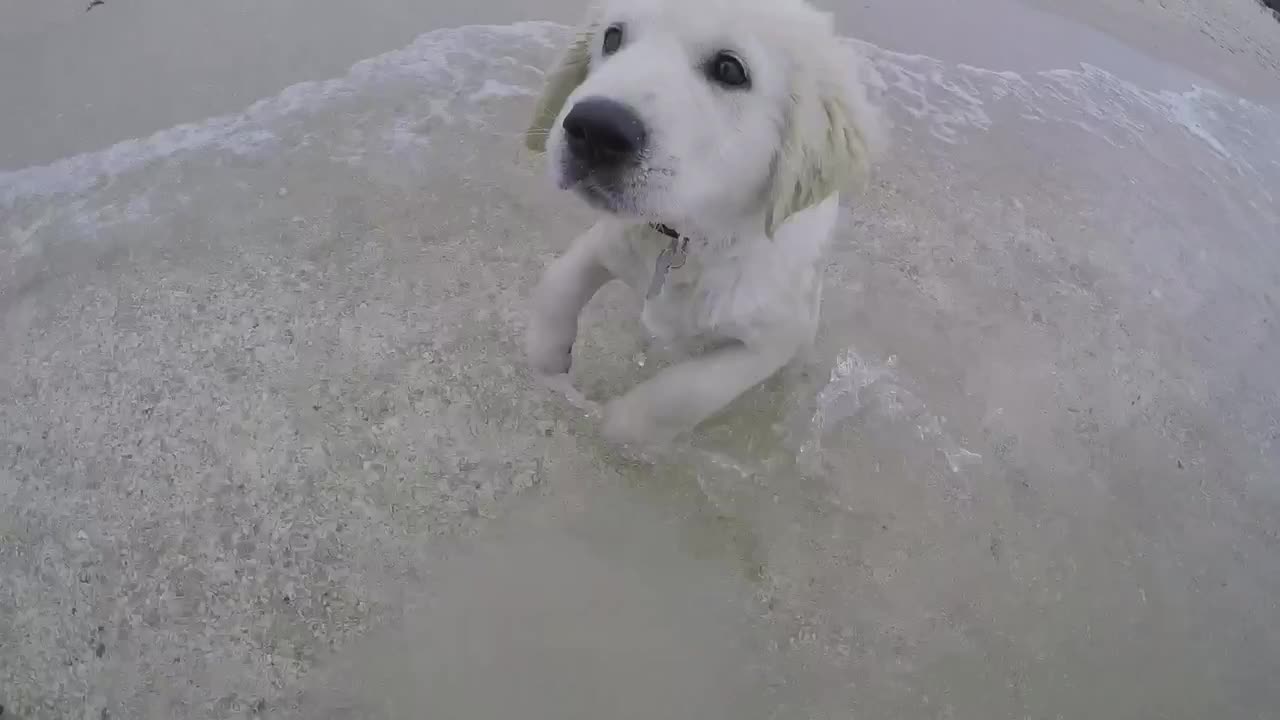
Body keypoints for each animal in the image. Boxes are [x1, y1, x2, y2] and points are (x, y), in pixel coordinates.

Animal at [519, 0, 880, 445]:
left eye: (729, 69)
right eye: (612, 37)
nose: (594, 128)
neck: (690, 238)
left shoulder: (771, 341)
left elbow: (686, 392)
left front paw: (622, 428)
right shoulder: (608, 240)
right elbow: (558, 283)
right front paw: (548, 356)